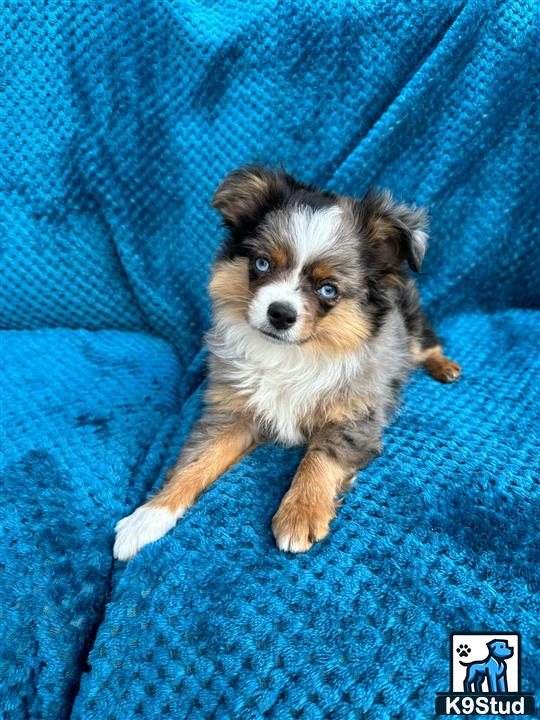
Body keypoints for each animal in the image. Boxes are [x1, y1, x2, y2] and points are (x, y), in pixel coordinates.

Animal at [114, 166, 460, 560]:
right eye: (262, 263)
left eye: (328, 290)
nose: (280, 313)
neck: (291, 354)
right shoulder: (234, 412)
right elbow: (196, 462)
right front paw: (149, 516)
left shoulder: (356, 415)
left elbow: (319, 457)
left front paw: (300, 513)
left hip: (412, 324)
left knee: (425, 345)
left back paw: (445, 367)